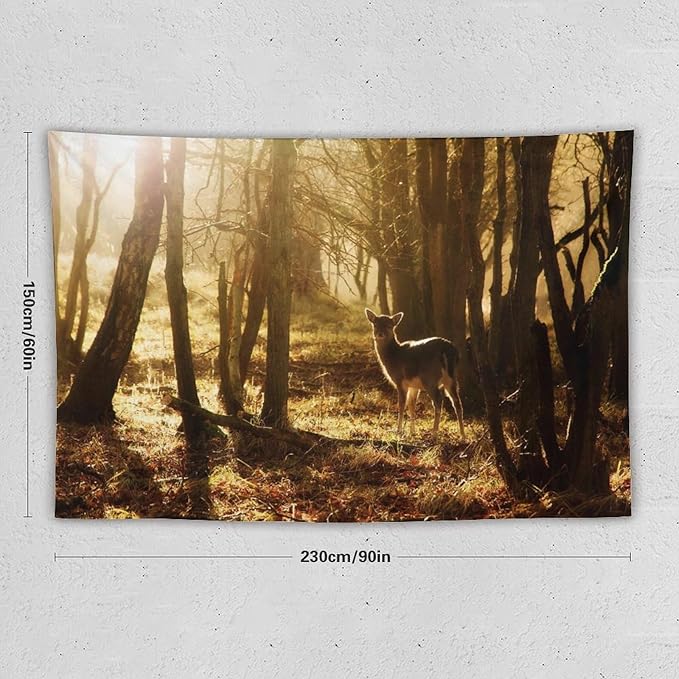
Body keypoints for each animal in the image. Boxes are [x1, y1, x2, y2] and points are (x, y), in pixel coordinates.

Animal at [365, 309, 465, 438]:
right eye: (375, 324)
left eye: (389, 326)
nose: (380, 334)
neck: (393, 357)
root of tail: (447, 350)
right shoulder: (413, 385)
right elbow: (412, 405)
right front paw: (412, 431)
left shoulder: (400, 380)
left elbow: (401, 405)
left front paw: (399, 430)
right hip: (452, 378)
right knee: (457, 402)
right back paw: (463, 435)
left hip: (430, 378)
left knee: (438, 401)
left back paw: (434, 433)